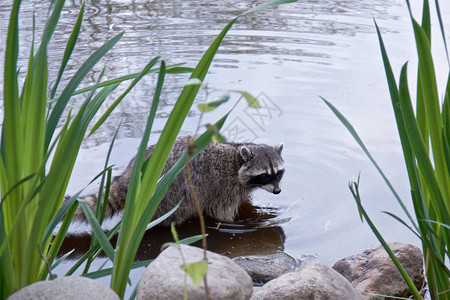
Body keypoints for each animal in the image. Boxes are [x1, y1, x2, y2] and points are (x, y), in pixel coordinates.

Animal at [73, 136, 284, 225]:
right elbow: (221, 214)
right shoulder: (222, 188)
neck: (235, 160)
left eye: (279, 173)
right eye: (265, 175)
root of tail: (131, 174)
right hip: (171, 194)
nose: (278, 191)